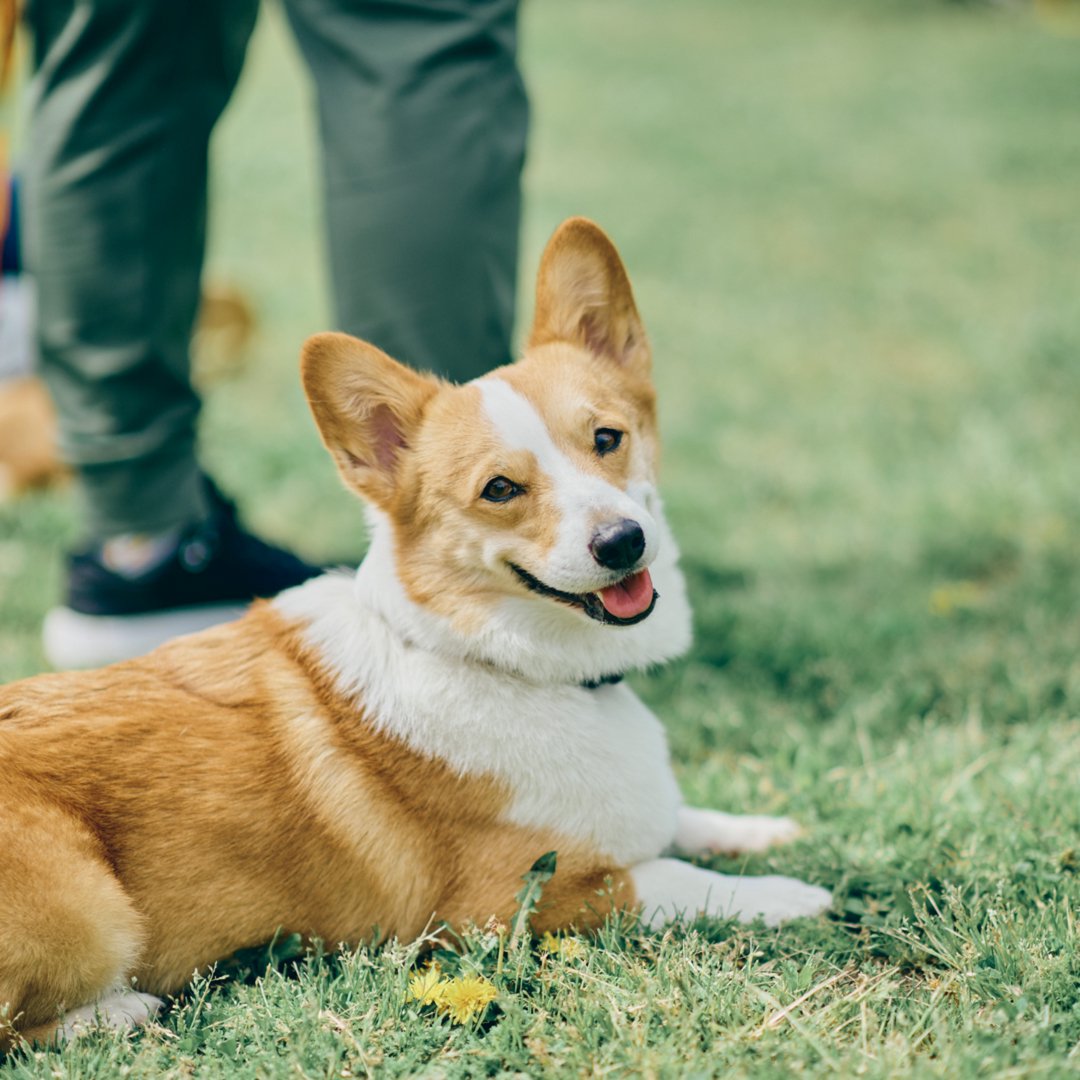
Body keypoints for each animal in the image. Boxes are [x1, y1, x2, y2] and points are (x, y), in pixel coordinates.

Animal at [0, 217, 829, 1045]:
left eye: (607, 438)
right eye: (500, 489)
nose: (623, 542)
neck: (512, 664)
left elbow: (684, 820)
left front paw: (761, 831)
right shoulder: (511, 904)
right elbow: (670, 876)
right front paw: (788, 894)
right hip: (91, 911)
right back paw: (118, 1011)